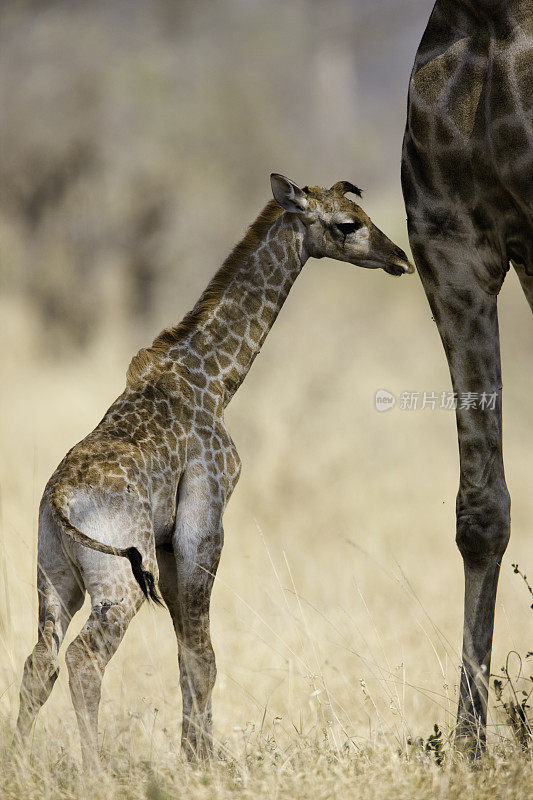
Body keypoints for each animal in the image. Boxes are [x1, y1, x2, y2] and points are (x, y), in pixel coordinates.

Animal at [14, 173, 410, 764]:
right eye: (348, 224)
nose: (399, 257)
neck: (215, 381)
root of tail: (60, 499)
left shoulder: (167, 546)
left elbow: (188, 653)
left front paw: (196, 754)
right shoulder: (206, 515)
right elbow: (204, 656)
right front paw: (203, 762)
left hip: (54, 576)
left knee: (39, 661)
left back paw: (16, 762)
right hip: (118, 584)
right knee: (84, 661)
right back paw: (96, 771)